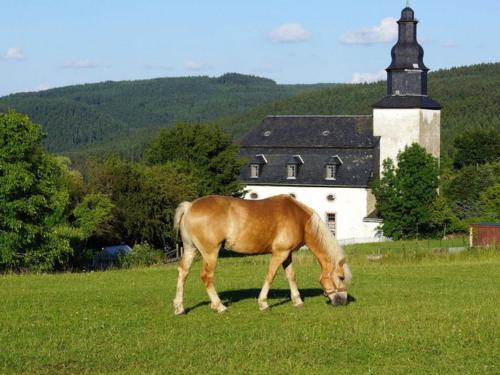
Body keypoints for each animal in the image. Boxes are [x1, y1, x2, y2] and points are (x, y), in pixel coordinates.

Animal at [172, 194, 352, 314]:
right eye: (341, 277)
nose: (343, 301)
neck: (299, 219)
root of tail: (190, 206)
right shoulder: (279, 253)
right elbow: (270, 275)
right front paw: (263, 303)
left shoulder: (287, 255)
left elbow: (291, 276)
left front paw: (297, 300)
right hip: (211, 253)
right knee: (206, 276)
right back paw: (219, 306)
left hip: (190, 249)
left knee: (183, 273)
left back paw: (180, 307)